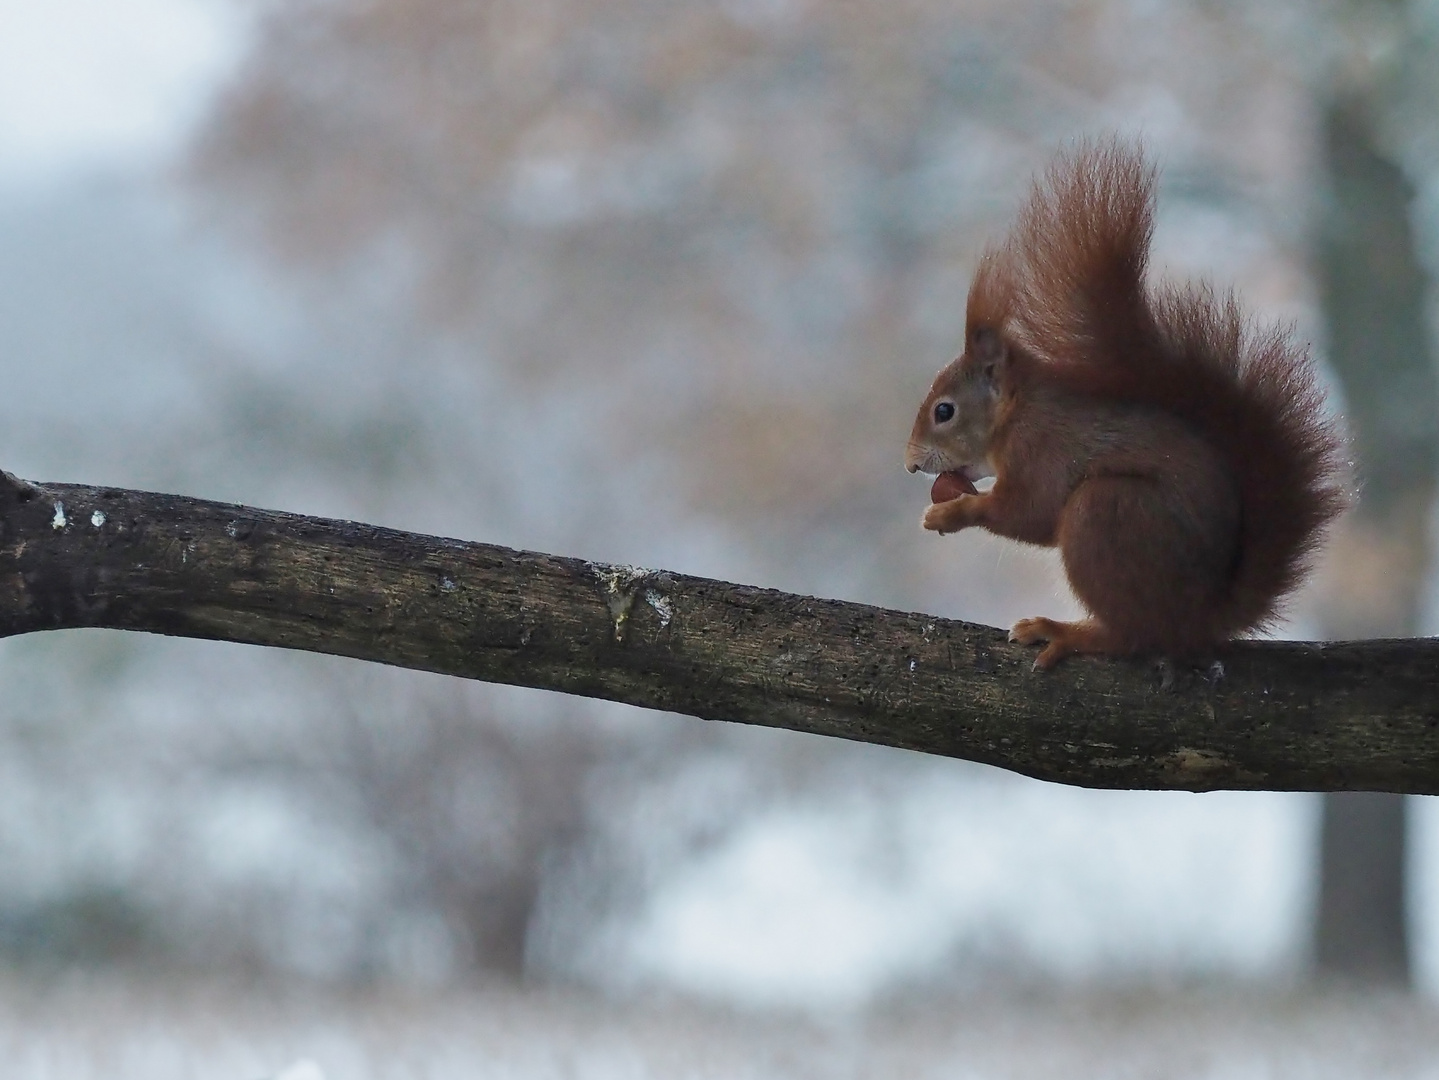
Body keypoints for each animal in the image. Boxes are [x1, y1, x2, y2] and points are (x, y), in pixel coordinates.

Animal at [909, 139, 1346, 673]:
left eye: (944, 411)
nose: (910, 464)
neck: (1017, 412)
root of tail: (1202, 616)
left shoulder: (1042, 446)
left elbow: (1030, 511)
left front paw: (952, 514)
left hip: (1107, 516)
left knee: (1136, 635)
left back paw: (1067, 632)